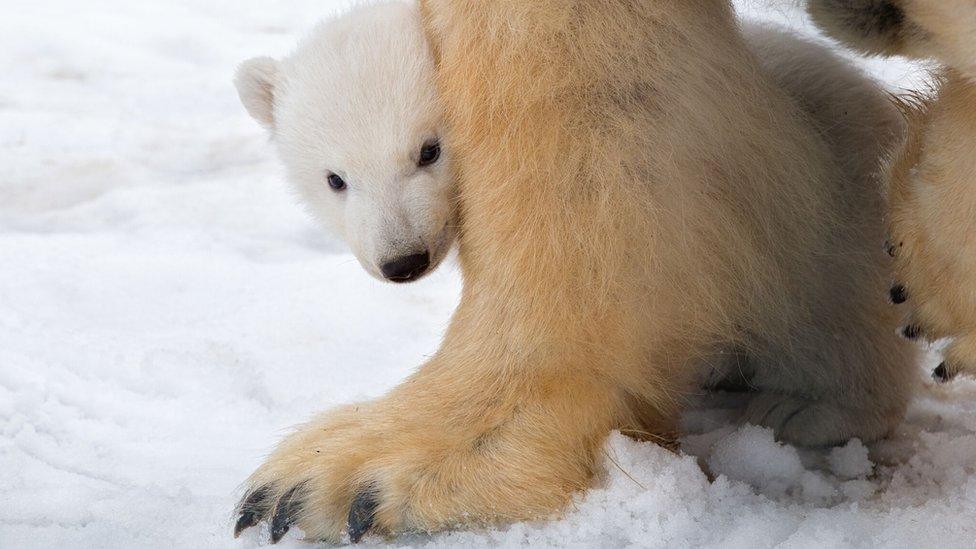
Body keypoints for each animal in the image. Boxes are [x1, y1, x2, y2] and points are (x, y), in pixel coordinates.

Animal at [236, 0, 916, 540]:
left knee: (833, 311)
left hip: (835, 221)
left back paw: (809, 407)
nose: (403, 260)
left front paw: (343, 479)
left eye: (428, 151)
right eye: (335, 179)